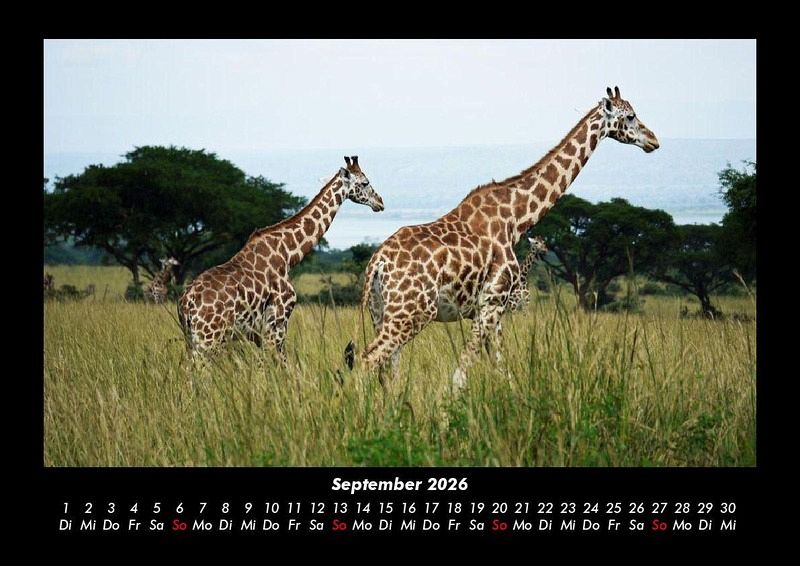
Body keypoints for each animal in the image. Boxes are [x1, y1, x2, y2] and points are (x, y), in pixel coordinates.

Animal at [178, 156, 384, 361]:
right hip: (209, 339)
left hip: (192, 340)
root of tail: (187, 302)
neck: (287, 254)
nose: (380, 202)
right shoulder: (278, 320)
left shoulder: (258, 333)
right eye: (365, 182)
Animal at [351, 87, 659, 389]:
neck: (516, 218)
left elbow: (501, 368)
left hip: (382, 312)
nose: (654, 140)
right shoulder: (491, 302)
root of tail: (378, 263)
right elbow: (460, 376)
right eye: (630, 116)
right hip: (413, 312)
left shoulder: (493, 310)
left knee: (387, 371)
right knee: (367, 360)